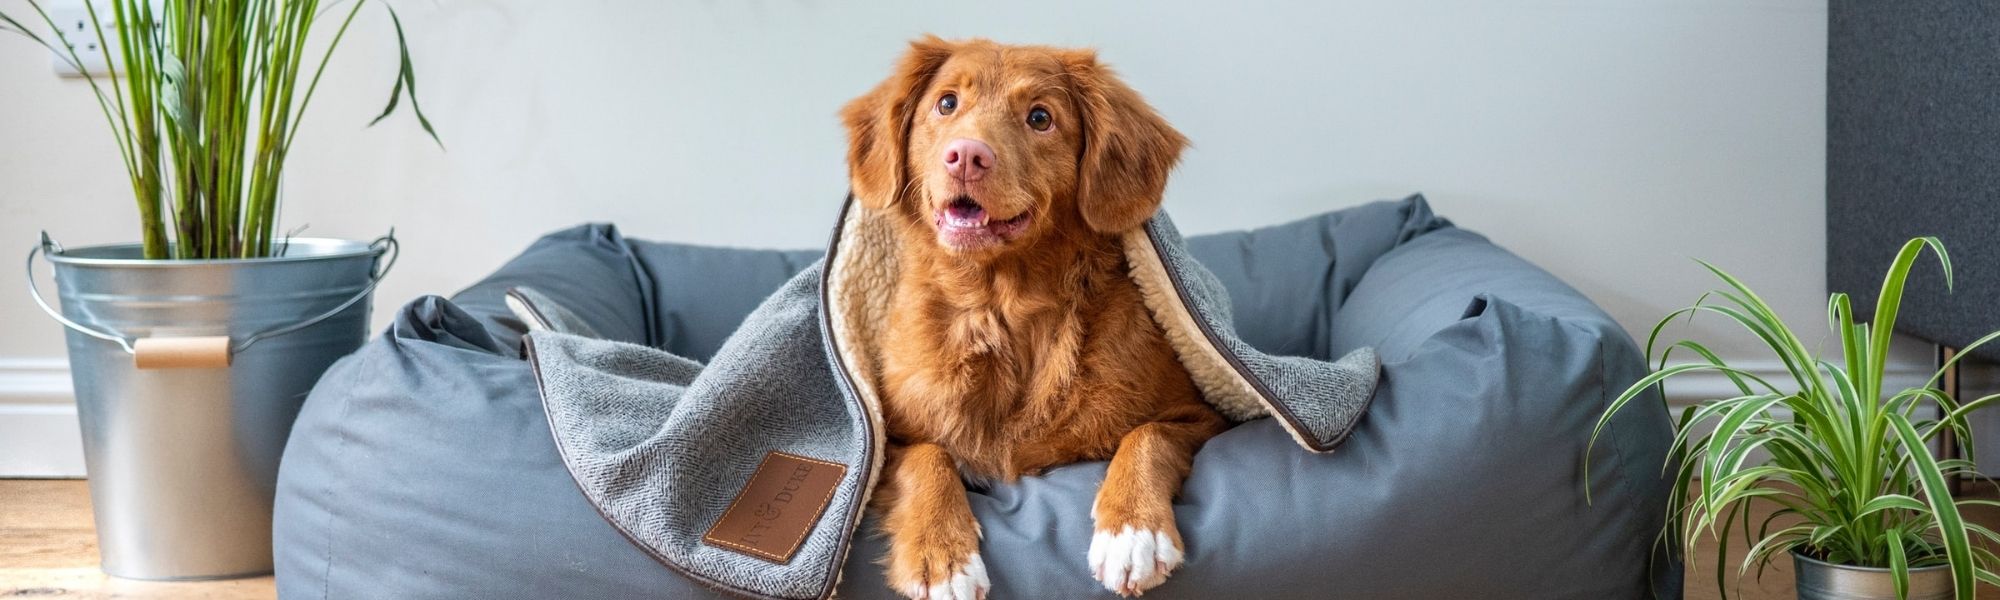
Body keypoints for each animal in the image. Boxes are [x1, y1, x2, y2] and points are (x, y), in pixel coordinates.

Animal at [840, 37, 1224, 600]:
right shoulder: (888, 441)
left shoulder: (1203, 416)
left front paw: (1132, 531)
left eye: (1040, 117)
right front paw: (942, 556)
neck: (1001, 308)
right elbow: (927, 458)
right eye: (947, 103)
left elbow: (1149, 436)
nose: (967, 156)